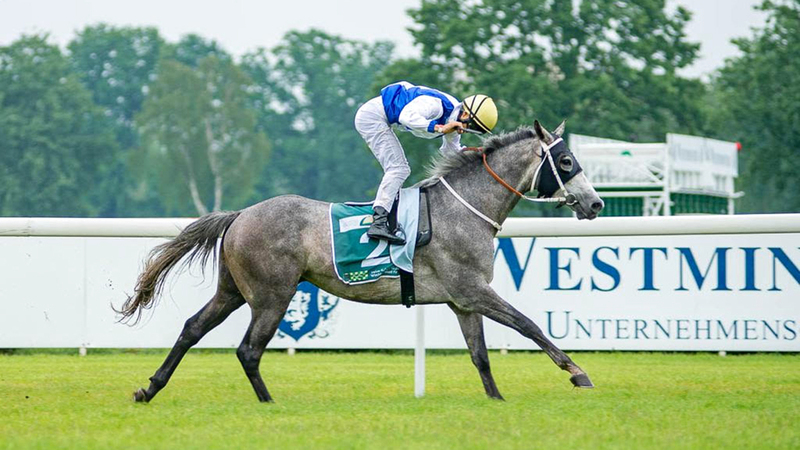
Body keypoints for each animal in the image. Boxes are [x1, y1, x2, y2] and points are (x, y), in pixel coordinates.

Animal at [118, 120, 605, 403]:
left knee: (192, 329)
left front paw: (496, 400)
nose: (596, 203)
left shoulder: (463, 300)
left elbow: (480, 355)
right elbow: (529, 325)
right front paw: (577, 373)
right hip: (273, 295)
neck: (465, 207)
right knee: (248, 350)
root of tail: (240, 214)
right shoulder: (473, 289)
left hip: (233, 290)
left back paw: (150, 388)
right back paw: (269, 404)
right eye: (566, 160)